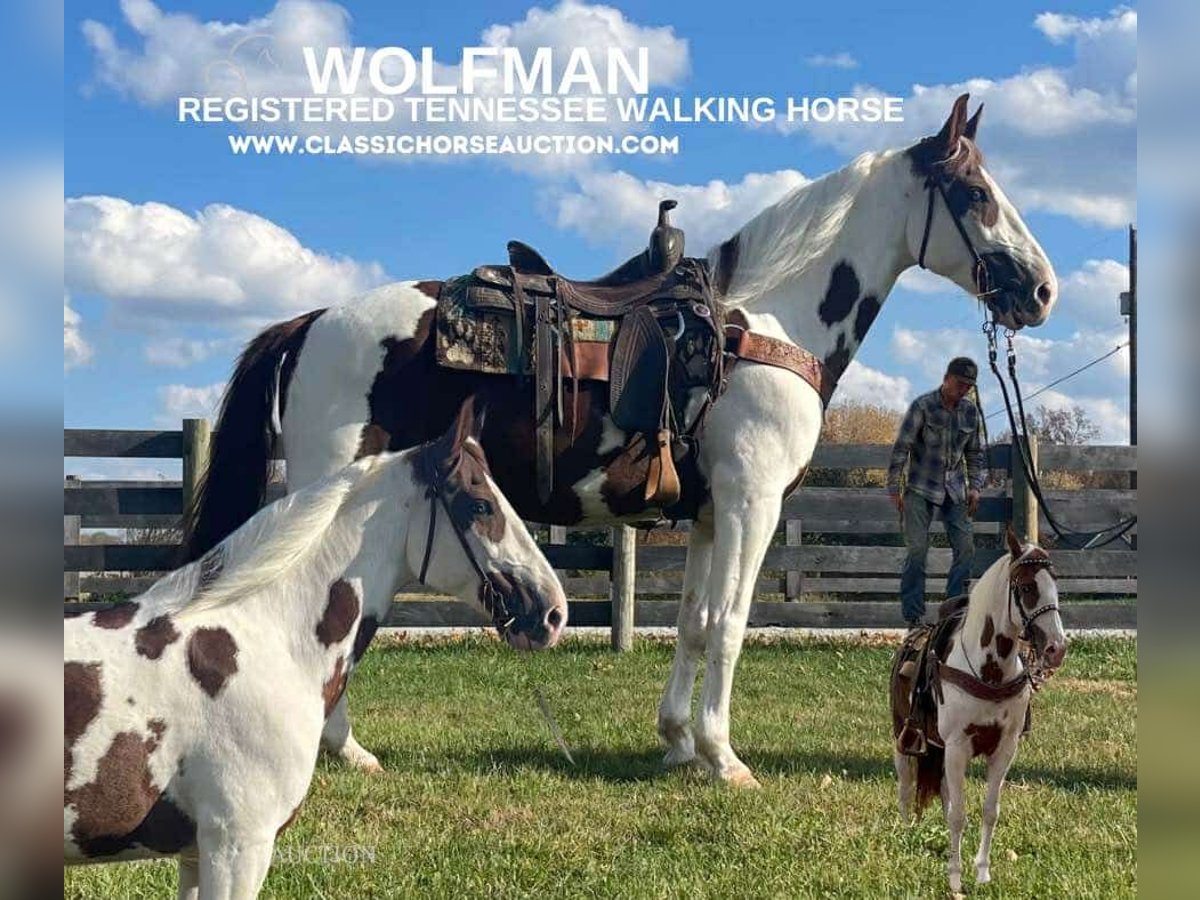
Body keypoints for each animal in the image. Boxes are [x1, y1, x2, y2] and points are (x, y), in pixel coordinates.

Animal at [180, 93, 1060, 787]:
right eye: (975, 192)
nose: (1044, 288)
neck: (768, 327)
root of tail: (309, 324)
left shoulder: (708, 515)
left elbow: (696, 621)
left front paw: (678, 743)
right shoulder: (752, 503)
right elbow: (731, 623)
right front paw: (724, 757)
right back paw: (339, 746)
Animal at [892, 528, 1070, 897]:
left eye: (1055, 584)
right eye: (1027, 587)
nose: (1056, 649)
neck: (989, 672)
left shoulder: (1003, 749)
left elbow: (988, 811)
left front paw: (982, 872)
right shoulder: (957, 747)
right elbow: (958, 814)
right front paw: (955, 878)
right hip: (903, 736)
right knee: (905, 785)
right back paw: (905, 831)